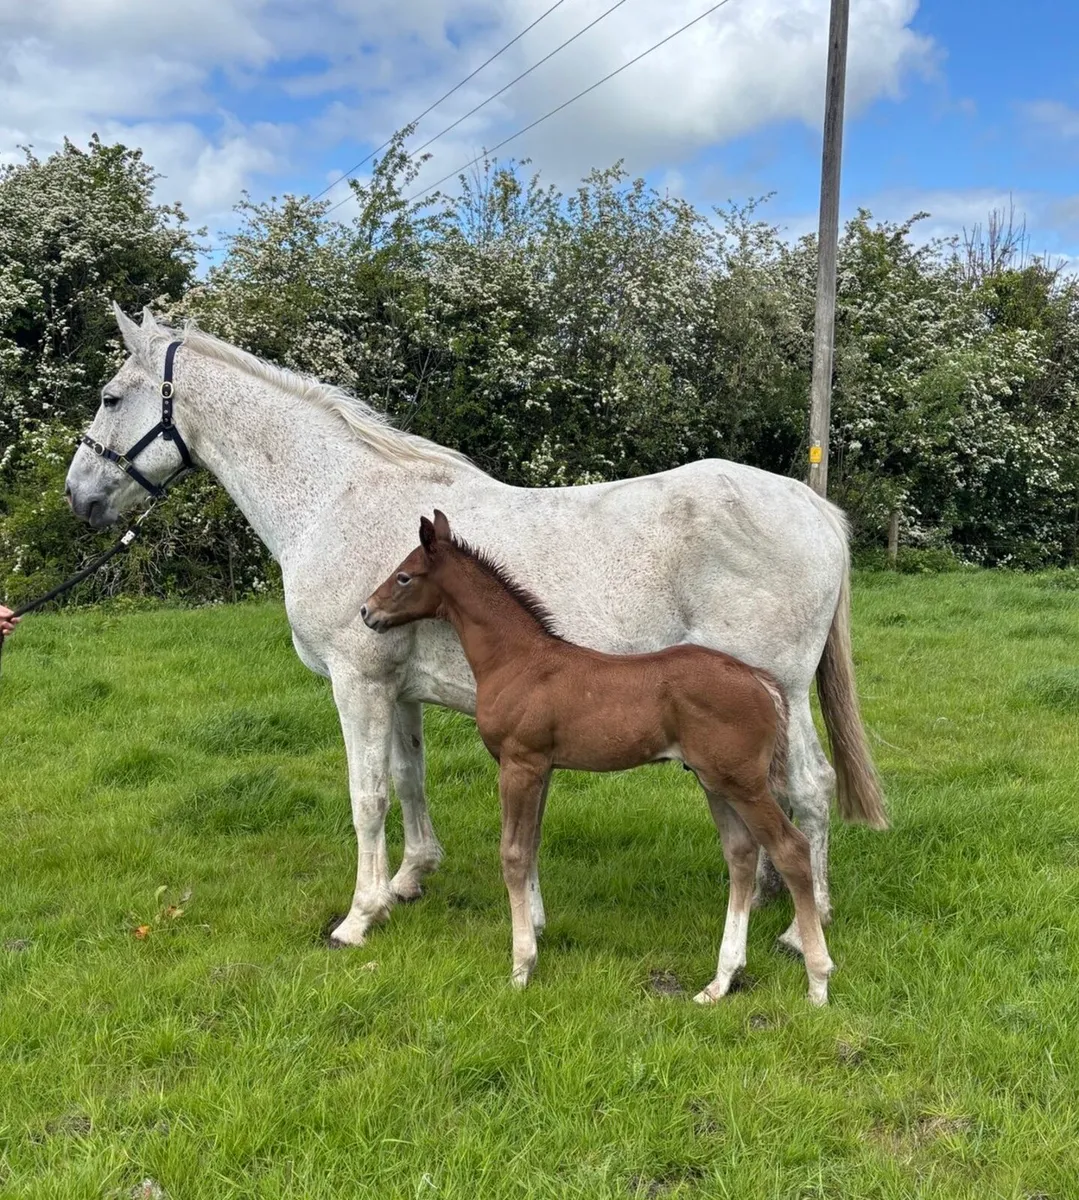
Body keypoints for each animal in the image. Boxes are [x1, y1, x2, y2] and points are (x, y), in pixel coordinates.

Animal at [361, 510, 836, 1003]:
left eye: (403, 576)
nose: (366, 612)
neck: (516, 660)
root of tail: (760, 681)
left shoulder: (519, 762)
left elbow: (512, 855)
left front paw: (521, 967)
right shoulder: (544, 767)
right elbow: (532, 845)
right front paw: (534, 936)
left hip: (743, 782)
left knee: (791, 849)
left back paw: (817, 980)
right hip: (714, 781)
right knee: (741, 855)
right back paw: (721, 981)